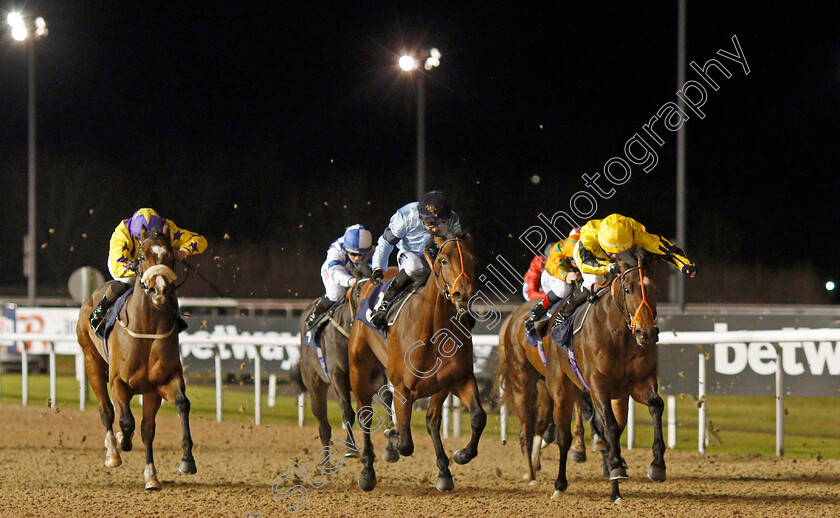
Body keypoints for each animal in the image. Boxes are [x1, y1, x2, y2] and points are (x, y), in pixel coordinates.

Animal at [74, 228, 195, 492]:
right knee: (107, 410)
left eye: (171, 257)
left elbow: (175, 410)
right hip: (92, 361)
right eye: (142, 256)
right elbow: (126, 420)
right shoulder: (118, 381)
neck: (147, 330)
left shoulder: (161, 383)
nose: (159, 290)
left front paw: (182, 462)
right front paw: (122, 441)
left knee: (142, 425)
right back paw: (113, 451)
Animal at [294, 284, 396, 460]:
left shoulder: (373, 375)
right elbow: (348, 411)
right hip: (315, 387)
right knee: (324, 425)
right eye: (358, 293)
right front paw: (351, 448)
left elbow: (386, 397)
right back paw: (326, 462)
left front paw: (390, 434)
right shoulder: (338, 376)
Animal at [348, 234, 486, 494]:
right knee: (365, 416)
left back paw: (444, 471)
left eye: (475, 260)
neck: (433, 330)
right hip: (358, 369)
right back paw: (367, 472)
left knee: (432, 420)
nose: (463, 294)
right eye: (443, 260)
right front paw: (392, 437)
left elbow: (477, 417)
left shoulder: (457, 380)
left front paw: (460, 456)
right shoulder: (403, 388)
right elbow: (405, 443)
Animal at [496, 302, 600, 486]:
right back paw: (531, 470)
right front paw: (579, 448)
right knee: (528, 424)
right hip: (524, 377)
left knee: (540, 420)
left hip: (543, 381)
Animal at [544, 250, 668, 506]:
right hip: (561, 392)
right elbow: (609, 427)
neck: (619, 336)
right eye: (628, 289)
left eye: (655, 289)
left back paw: (615, 488)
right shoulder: (598, 386)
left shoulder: (640, 384)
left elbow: (656, 406)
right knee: (564, 438)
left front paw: (657, 466)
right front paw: (616, 468)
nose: (646, 332)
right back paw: (560, 484)